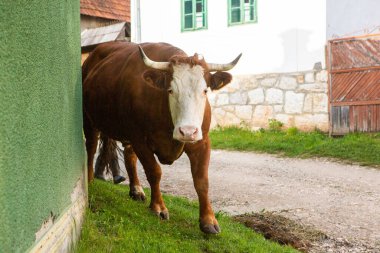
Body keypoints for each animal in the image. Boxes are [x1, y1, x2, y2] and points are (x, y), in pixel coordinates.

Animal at [83, 41, 240, 233]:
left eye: (204, 90)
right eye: (171, 90)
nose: (188, 131)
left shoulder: (202, 141)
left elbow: (202, 180)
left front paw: (208, 220)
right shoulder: (140, 139)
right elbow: (154, 172)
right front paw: (158, 207)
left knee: (129, 156)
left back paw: (136, 190)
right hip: (88, 120)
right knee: (91, 147)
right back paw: (90, 179)